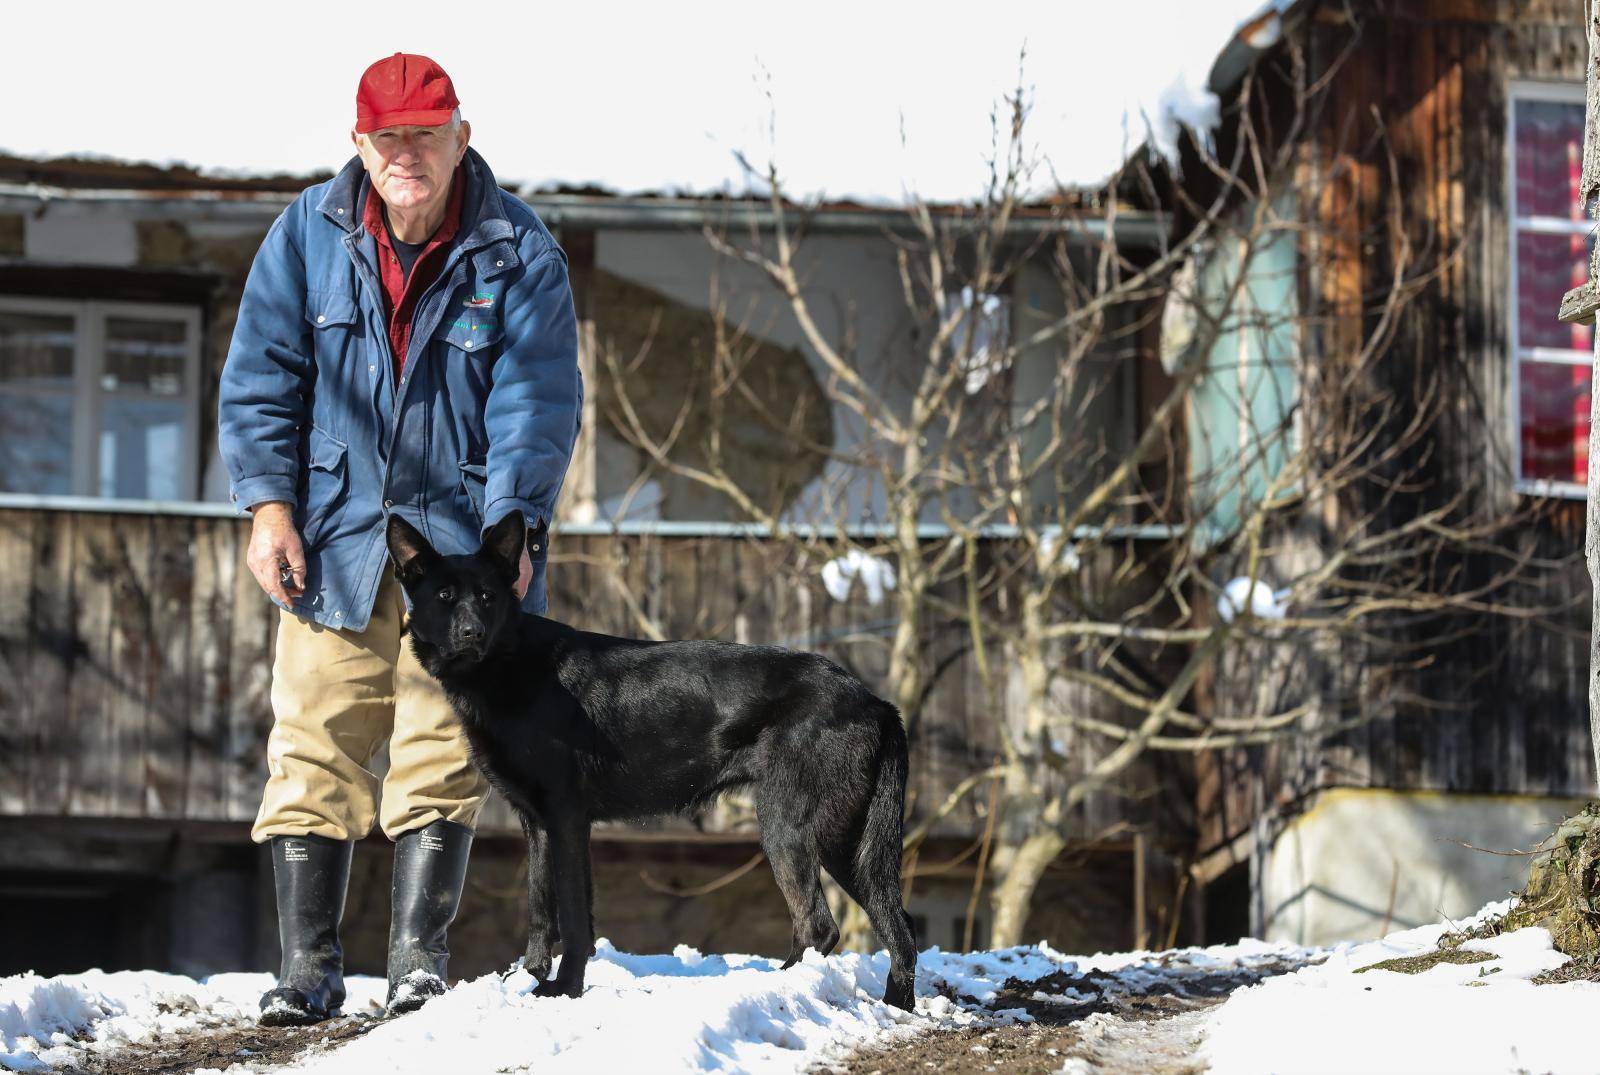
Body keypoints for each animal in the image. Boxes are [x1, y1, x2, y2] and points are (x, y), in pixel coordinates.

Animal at [382, 508, 921, 1011]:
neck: (510, 665)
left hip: (790, 826)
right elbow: (539, 906)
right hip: (847, 842)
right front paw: (531, 978)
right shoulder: (537, 824)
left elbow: (573, 916)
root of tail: (873, 700)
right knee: (900, 926)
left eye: (487, 596)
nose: (472, 633)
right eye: (445, 596)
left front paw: (565, 988)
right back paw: (898, 1006)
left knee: (818, 925)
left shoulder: (567, 820)